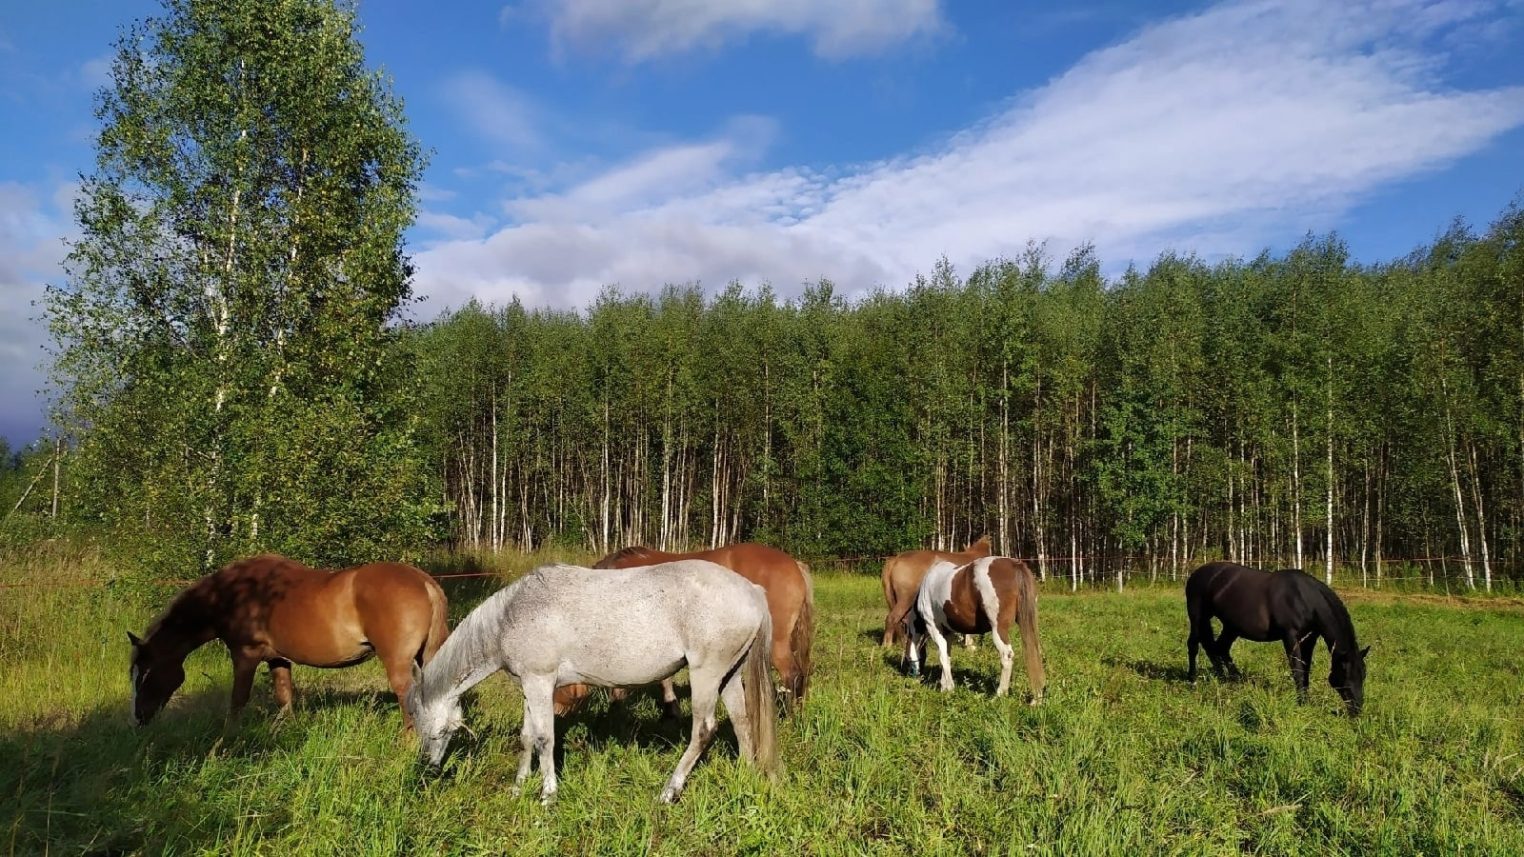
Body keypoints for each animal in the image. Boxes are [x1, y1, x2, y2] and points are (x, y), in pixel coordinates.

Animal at [127, 553, 449, 729]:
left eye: (145, 674)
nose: (139, 718)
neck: (232, 595)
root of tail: (425, 582)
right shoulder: (277, 658)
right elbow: (284, 696)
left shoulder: (245, 654)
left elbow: (237, 700)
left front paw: (227, 739)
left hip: (397, 663)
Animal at [405, 560, 779, 805]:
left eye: (433, 731)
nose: (429, 769)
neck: (513, 615)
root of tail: (752, 591)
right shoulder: (528, 686)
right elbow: (526, 737)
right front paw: (518, 786)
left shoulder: (541, 682)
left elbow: (544, 738)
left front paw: (547, 795)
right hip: (729, 676)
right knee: (742, 722)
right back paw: (745, 776)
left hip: (706, 674)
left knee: (703, 730)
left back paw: (669, 791)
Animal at [902, 556, 1045, 701]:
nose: (911, 680)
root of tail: (1015, 565)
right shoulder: (948, 632)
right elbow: (946, 656)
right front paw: (944, 687)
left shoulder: (933, 627)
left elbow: (942, 656)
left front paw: (949, 688)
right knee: (1034, 653)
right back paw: (1037, 698)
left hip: (999, 629)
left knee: (1007, 656)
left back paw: (1000, 694)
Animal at [1185, 561, 1369, 716]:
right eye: (1345, 672)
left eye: (1363, 674)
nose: (1357, 709)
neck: (1304, 599)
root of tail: (1197, 573)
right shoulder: (1290, 636)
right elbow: (1297, 669)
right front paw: (1301, 702)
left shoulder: (1309, 639)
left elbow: (1305, 667)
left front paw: (1305, 699)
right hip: (1198, 617)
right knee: (1194, 645)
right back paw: (1193, 680)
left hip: (1231, 626)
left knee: (1219, 648)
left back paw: (1229, 679)